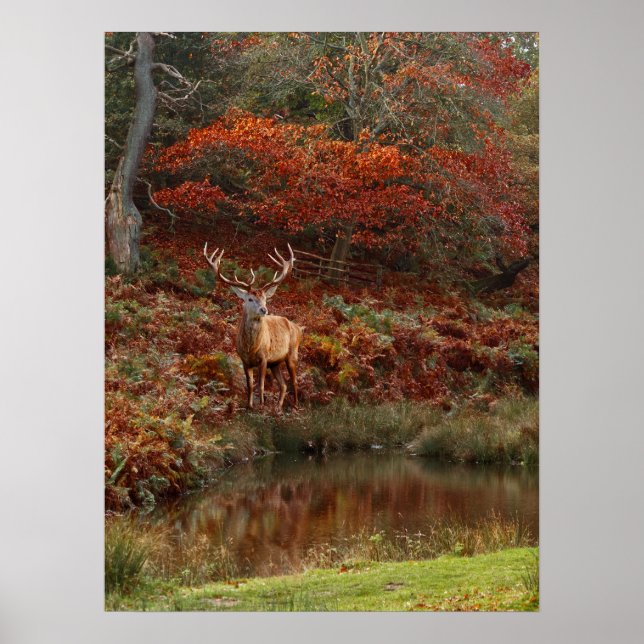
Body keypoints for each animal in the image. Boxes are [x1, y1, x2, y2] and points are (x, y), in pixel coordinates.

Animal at [203, 242, 303, 410]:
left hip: (292, 354)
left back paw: (295, 406)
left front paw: (261, 405)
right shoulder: (244, 360)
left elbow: (260, 385)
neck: (251, 347)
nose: (264, 309)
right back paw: (278, 408)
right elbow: (249, 385)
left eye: (265, 299)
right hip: (275, 363)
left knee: (294, 382)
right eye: (249, 299)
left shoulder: (264, 357)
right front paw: (249, 405)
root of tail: (299, 328)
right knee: (283, 385)